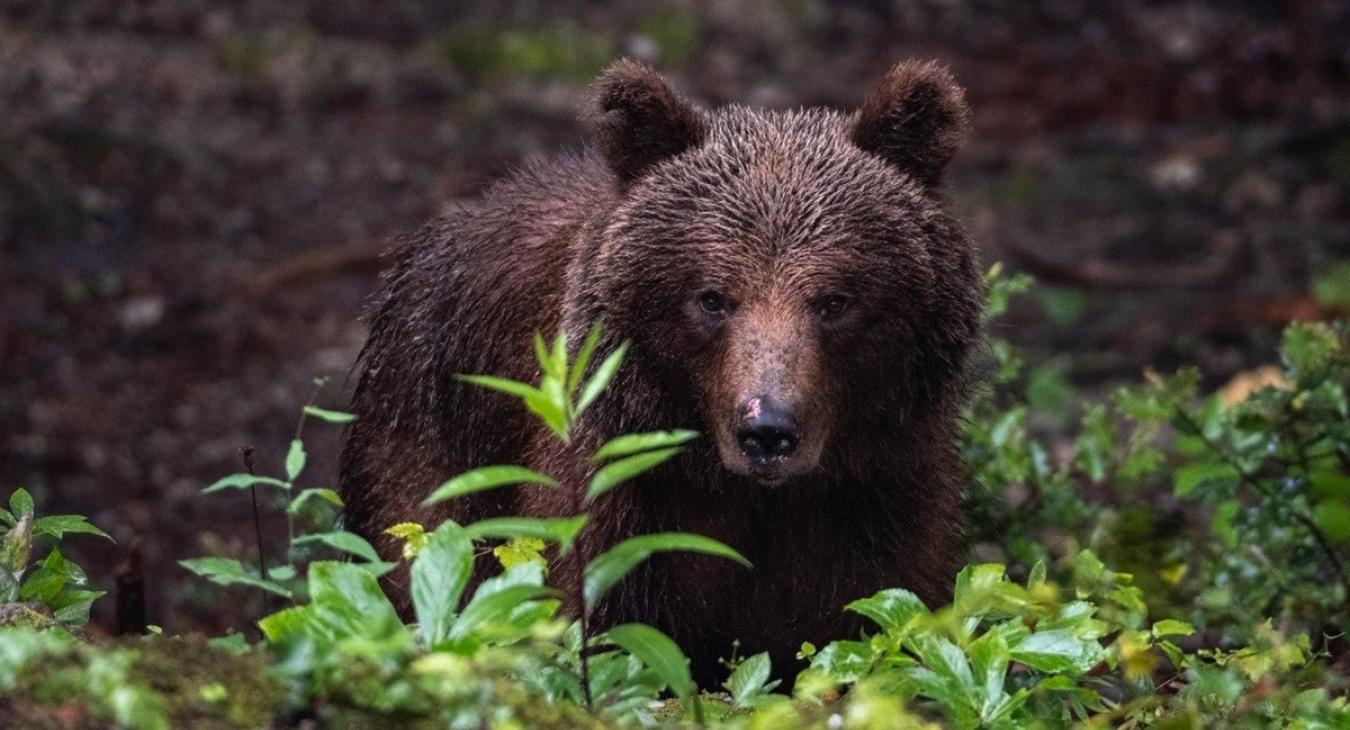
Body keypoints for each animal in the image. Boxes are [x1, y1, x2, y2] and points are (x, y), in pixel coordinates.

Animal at [340, 59, 982, 685]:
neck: (744, 488)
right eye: (713, 297)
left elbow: (871, 616)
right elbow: (614, 629)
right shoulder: (626, 500)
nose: (767, 430)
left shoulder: (876, 491)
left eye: (834, 300)